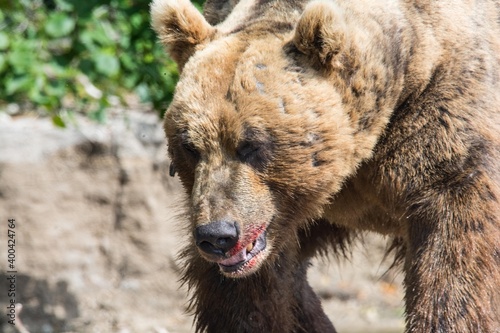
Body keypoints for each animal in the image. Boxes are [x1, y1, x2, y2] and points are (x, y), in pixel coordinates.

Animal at [150, 0, 498, 330]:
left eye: (251, 145)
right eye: (190, 147)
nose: (217, 236)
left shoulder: (441, 122)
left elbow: (457, 255)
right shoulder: (293, 211)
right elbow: (256, 292)